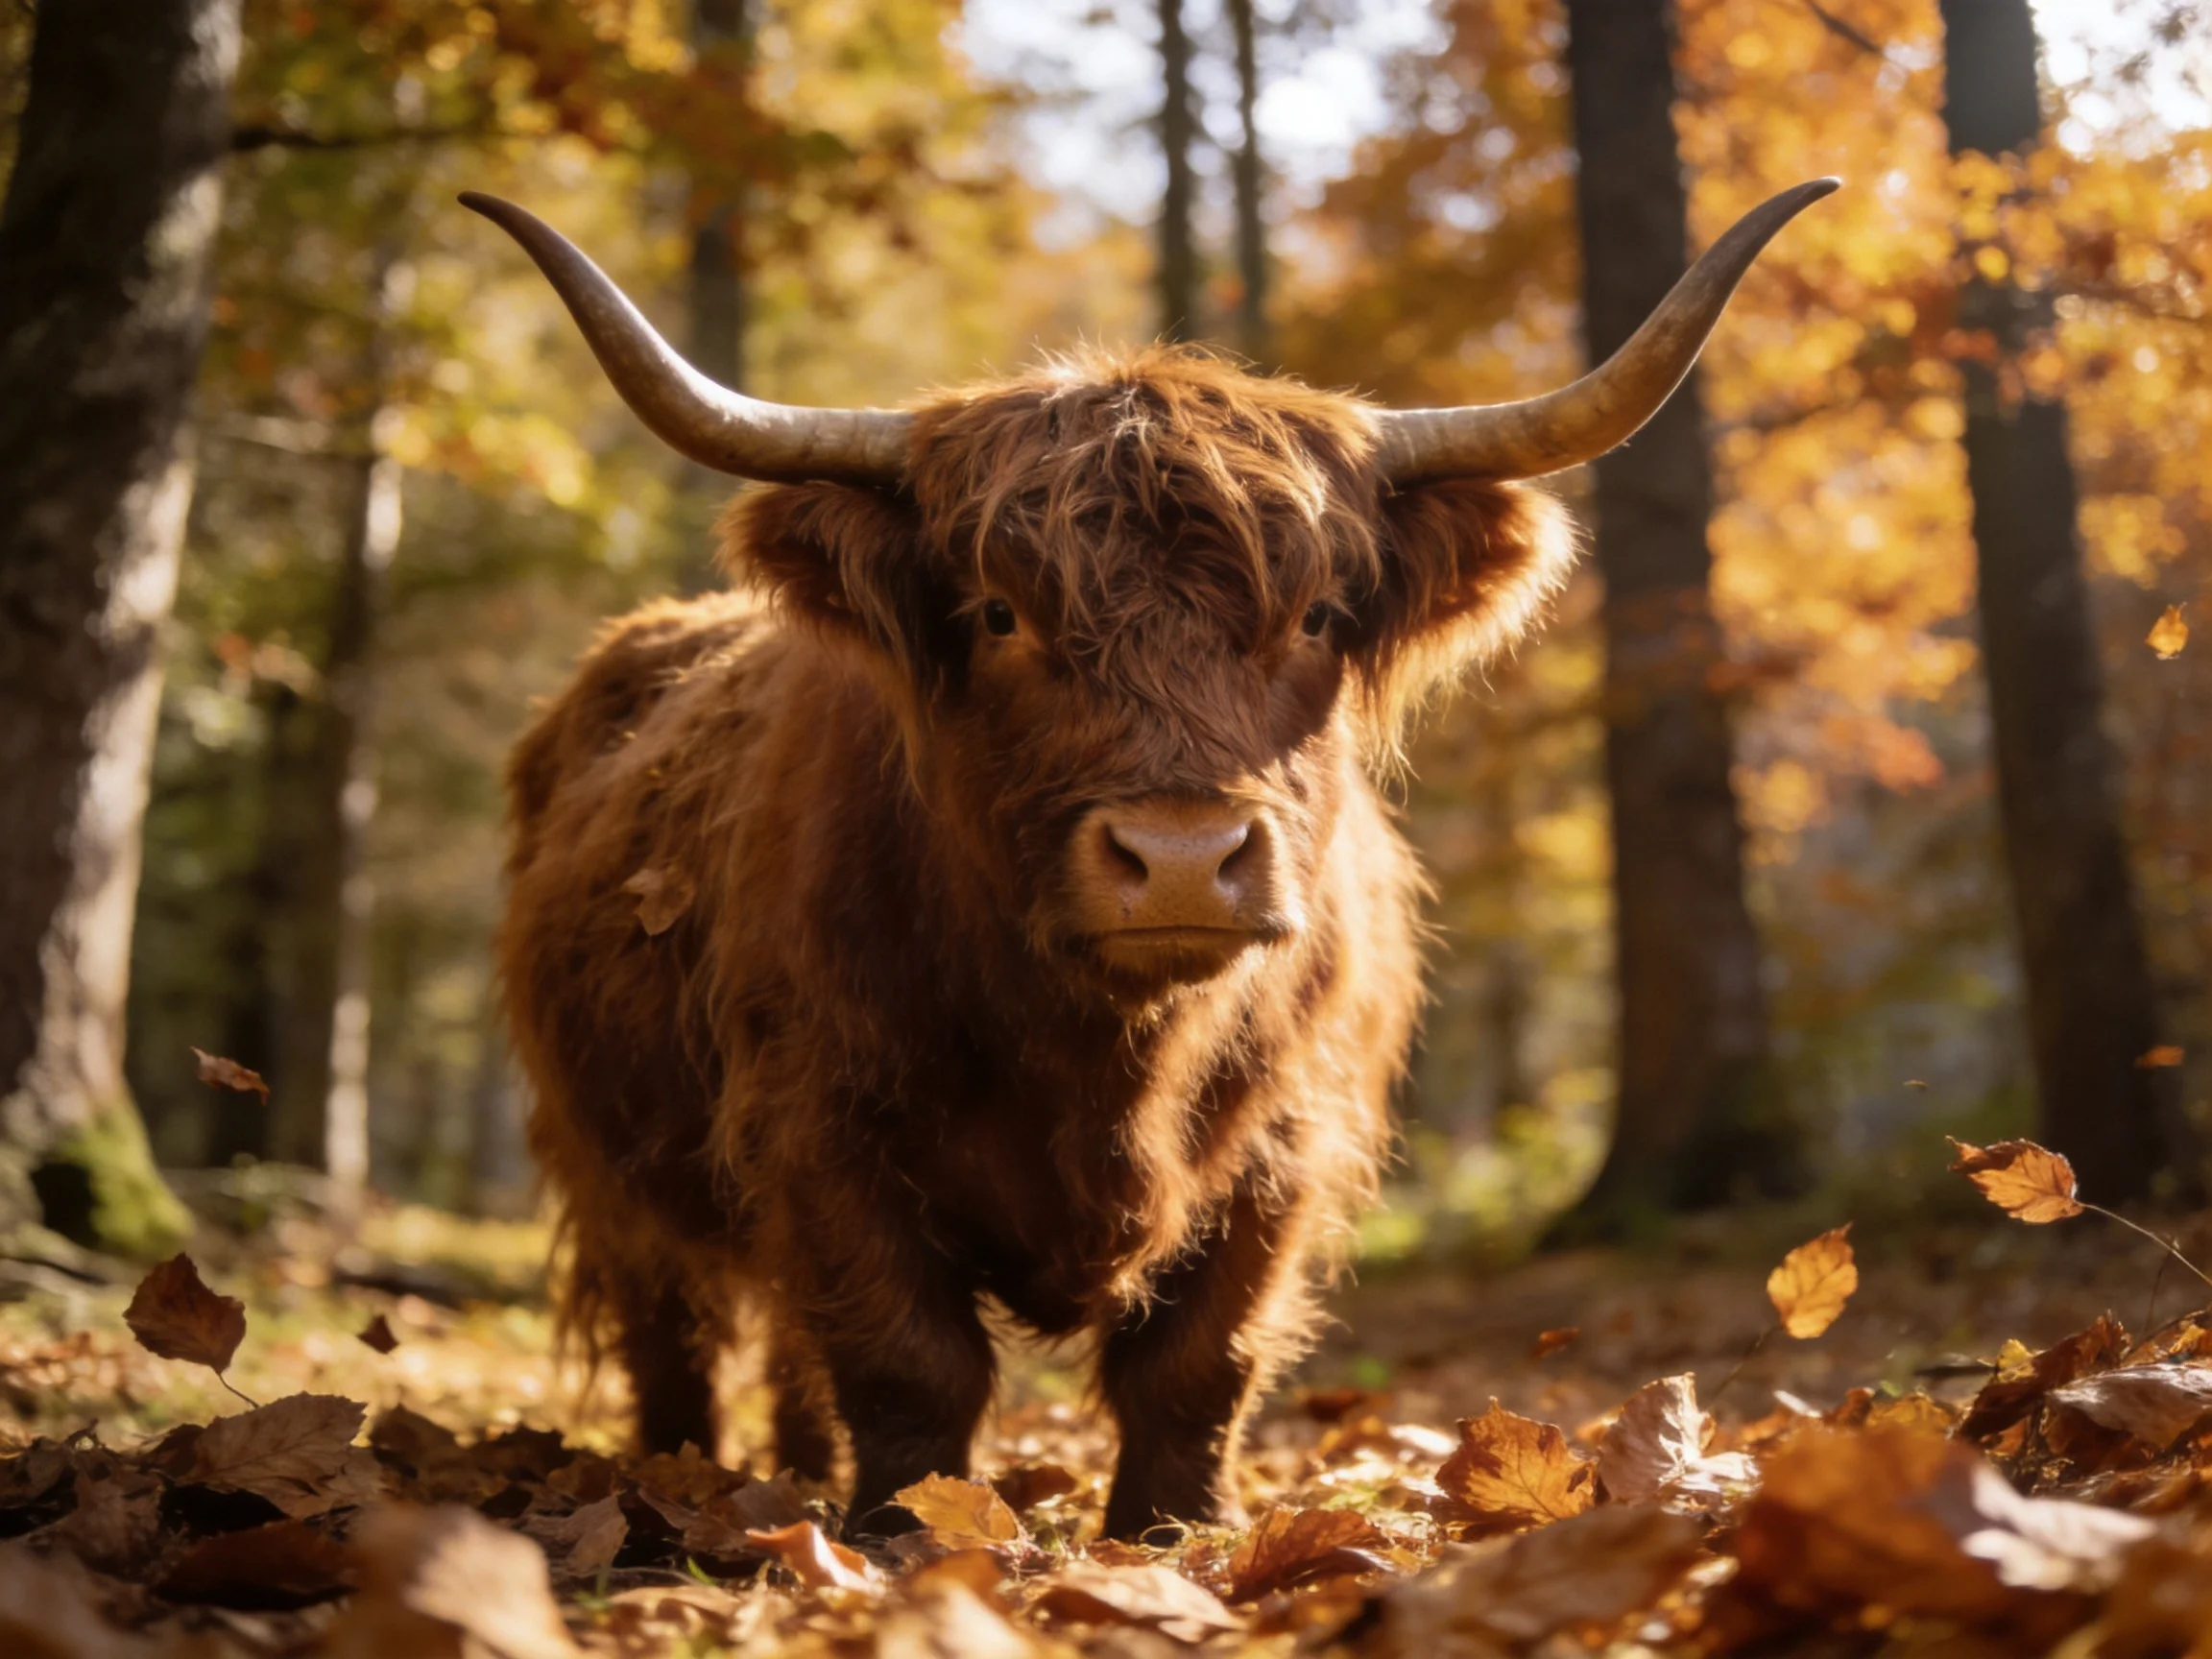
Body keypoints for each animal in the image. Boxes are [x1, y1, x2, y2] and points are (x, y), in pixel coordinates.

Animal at [470, 178, 1834, 1540]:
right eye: (999, 613)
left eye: (1317, 615)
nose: (1181, 855)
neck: (1107, 1055)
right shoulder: (816, 1123)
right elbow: (907, 1356)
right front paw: (902, 1529)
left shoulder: (1285, 1142)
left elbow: (1197, 1360)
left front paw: (1172, 1533)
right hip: (605, 1163)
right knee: (673, 1330)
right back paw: (680, 1479)